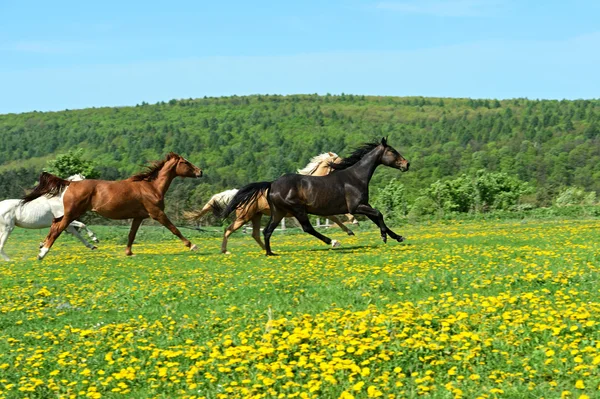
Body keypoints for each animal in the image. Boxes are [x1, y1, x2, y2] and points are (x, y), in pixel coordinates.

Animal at [22, 152, 203, 260]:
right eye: (186, 162)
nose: (200, 172)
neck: (151, 187)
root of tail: (70, 183)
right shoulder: (157, 213)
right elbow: (174, 229)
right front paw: (192, 245)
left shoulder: (138, 217)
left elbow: (131, 235)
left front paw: (129, 252)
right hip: (71, 213)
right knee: (58, 229)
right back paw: (43, 253)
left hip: (66, 213)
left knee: (55, 225)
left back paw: (42, 247)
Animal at [185, 152, 356, 255]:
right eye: (339, 160)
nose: (349, 165)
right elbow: (334, 217)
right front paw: (339, 237)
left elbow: (335, 217)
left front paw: (349, 230)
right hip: (244, 218)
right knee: (228, 230)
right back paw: (225, 251)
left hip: (256, 217)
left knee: (255, 234)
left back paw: (266, 250)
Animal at [223, 138, 410, 256]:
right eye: (392, 151)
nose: (406, 164)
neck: (355, 177)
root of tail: (272, 184)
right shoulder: (356, 207)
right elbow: (379, 214)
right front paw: (385, 237)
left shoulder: (363, 206)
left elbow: (377, 218)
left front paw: (398, 237)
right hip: (296, 210)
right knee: (307, 228)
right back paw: (332, 241)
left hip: (278, 213)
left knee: (266, 231)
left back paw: (270, 253)